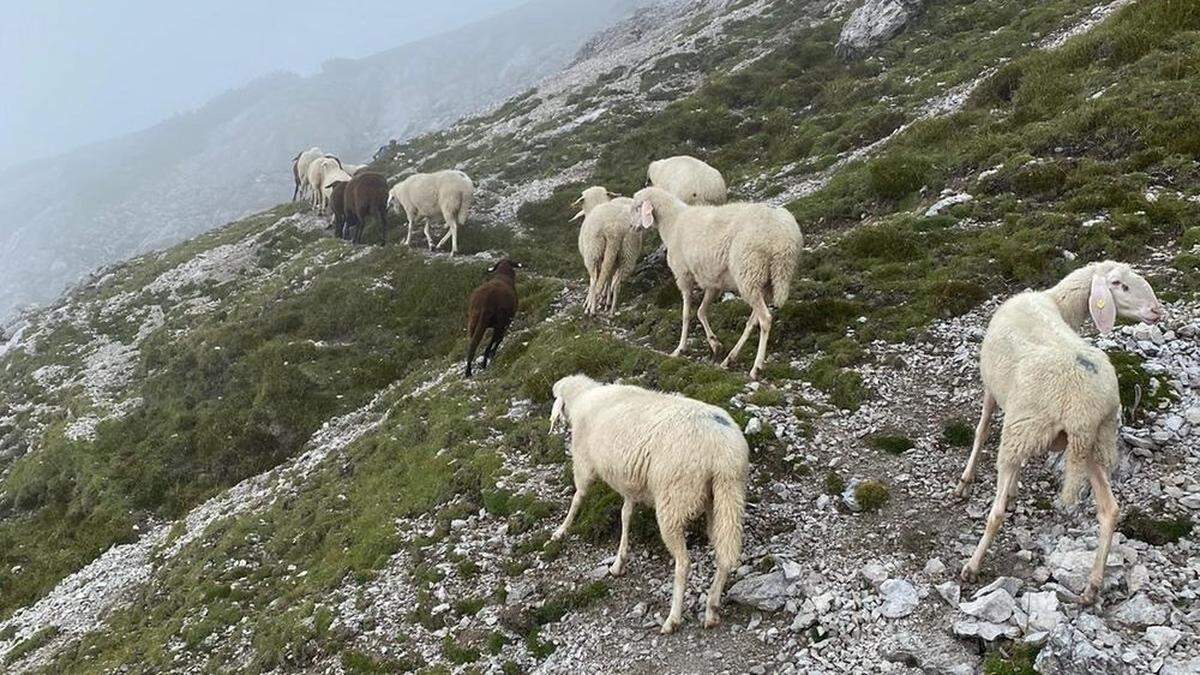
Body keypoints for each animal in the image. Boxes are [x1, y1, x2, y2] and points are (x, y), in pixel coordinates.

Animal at [547, 372, 748, 629]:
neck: (584, 398)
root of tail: (722, 452)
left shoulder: (583, 464)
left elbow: (578, 498)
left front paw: (561, 530)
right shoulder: (629, 481)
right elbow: (626, 514)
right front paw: (619, 562)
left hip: (673, 501)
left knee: (684, 563)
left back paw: (673, 619)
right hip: (727, 496)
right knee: (724, 553)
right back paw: (712, 609)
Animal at [568, 184, 643, 314]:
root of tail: (614, 229)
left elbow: (598, 280)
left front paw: (591, 302)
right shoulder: (610, 259)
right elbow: (607, 277)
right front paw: (605, 299)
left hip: (593, 252)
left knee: (594, 281)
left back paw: (591, 309)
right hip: (627, 252)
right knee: (616, 282)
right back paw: (611, 310)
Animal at [628, 186, 806, 381]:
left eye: (637, 207)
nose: (631, 227)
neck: (673, 223)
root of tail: (784, 240)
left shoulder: (684, 275)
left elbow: (686, 314)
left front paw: (679, 348)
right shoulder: (713, 282)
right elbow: (701, 311)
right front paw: (715, 344)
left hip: (749, 272)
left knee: (765, 319)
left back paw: (756, 367)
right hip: (763, 281)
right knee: (753, 321)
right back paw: (729, 358)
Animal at [955, 260, 1161, 600]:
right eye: (1120, 284)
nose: (1157, 311)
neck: (1054, 302)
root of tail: (1087, 407)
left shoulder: (997, 394)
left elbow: (981, 430)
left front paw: (966, 480)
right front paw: (1011, 489)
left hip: (1027, 432)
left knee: (995, 514)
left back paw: (972, 566)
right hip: (1091, 443)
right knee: (1110, 510)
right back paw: (1092, 586)